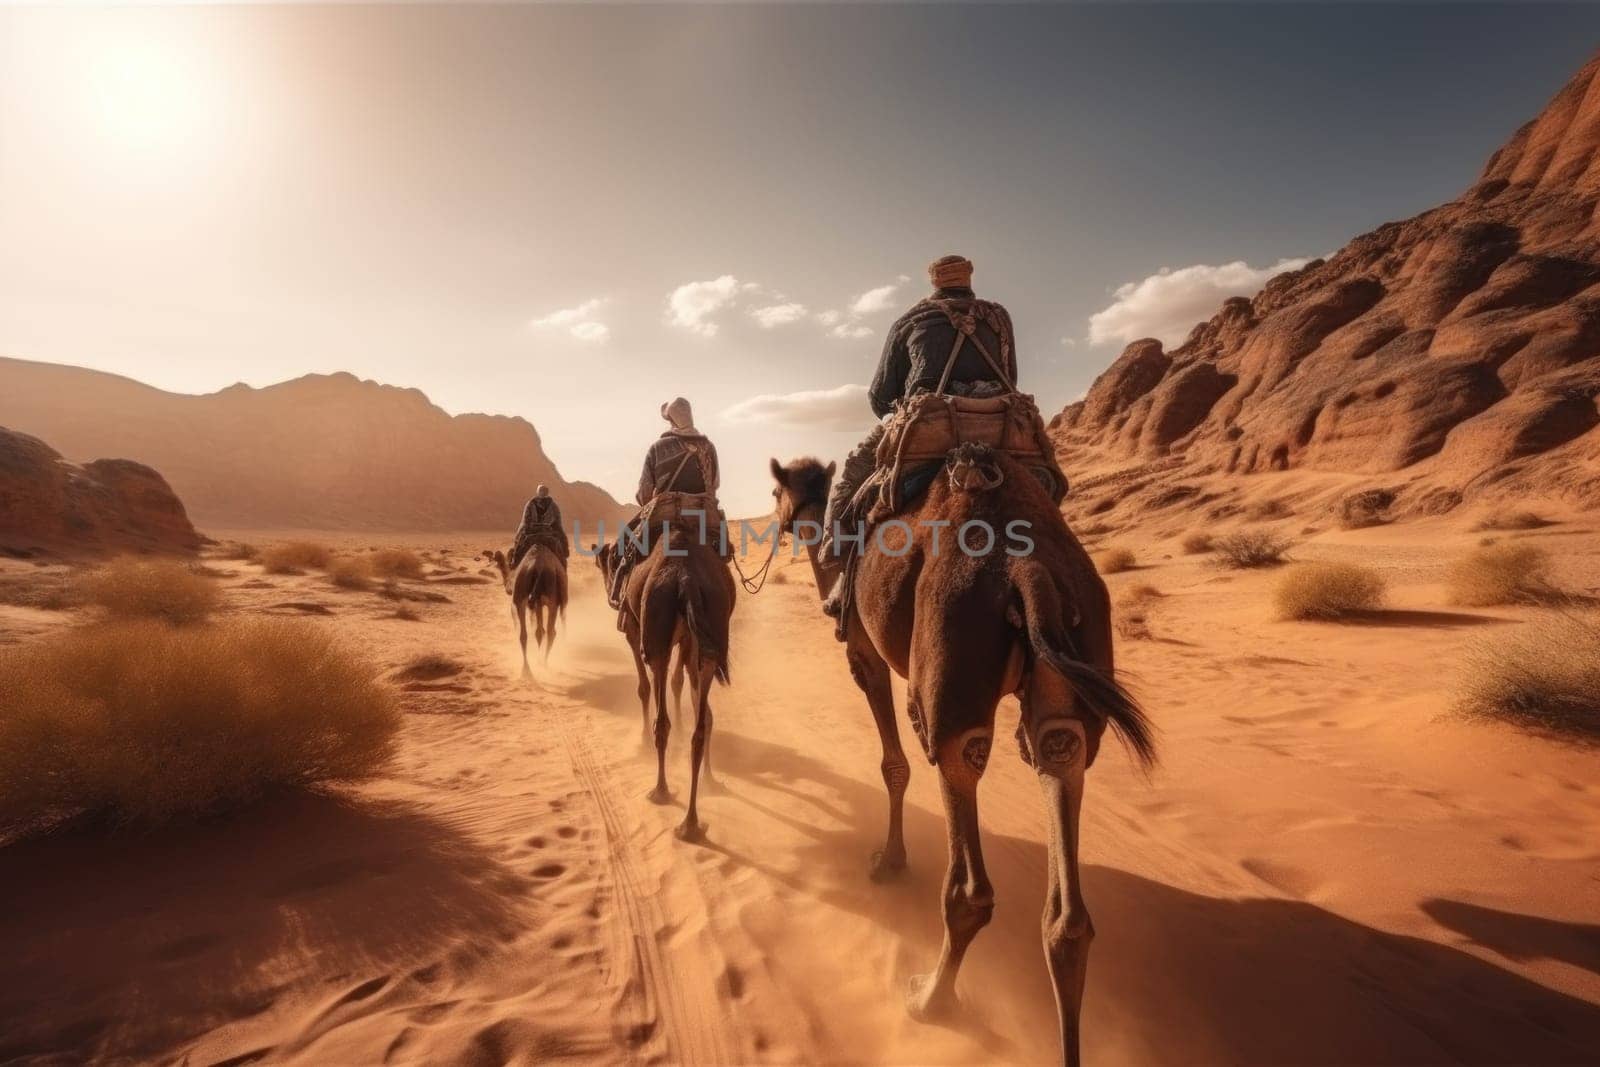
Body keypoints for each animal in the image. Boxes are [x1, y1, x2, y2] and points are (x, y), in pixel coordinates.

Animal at [483, 547, 566, 681]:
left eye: (500, 565)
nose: (507, 589)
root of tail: (539, 567)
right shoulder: (537, 604)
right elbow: (539, 631)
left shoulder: (521, 606)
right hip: (547, 601)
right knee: (539, 632)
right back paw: (534, 667)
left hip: (525, 601)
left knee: (535, 633)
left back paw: (533, 667)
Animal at [595, 531, 732, 838]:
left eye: (608, 562)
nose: (611, 594)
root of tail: (686, 579)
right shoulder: (689, 640)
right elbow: (681, 685)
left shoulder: (634, 630)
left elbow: (644, 689)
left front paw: (642, 741)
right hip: (711, 634)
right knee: (703, 722)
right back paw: (694, 813)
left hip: (656, 636)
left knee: (662, 719)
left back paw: (660, 791)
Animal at [771, 447, 1158, 1062]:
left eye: (776, 492)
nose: (780, 521)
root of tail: (1028, 571)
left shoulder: (864, 650)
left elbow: (893, 763)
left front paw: (888, 861)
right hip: (1077, 658)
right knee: (1061, 765)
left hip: (950, 665)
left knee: (961, 804)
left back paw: (929, 999)